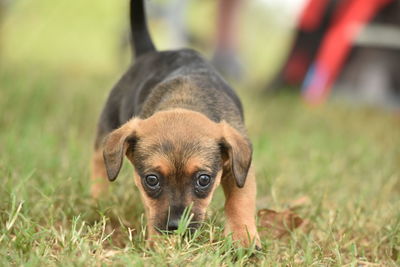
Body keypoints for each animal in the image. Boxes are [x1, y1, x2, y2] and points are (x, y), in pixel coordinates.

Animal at [90, 0, 260, 248]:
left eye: (203, 180)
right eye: (151, 180)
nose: (175, 226)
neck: (185, 100)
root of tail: (150, 52)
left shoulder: (239, 169)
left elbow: (240, 200)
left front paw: (243, 238)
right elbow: (152, 209)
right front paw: (161, 245)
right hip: (106, 128)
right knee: (99, 167)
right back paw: (97, 202)